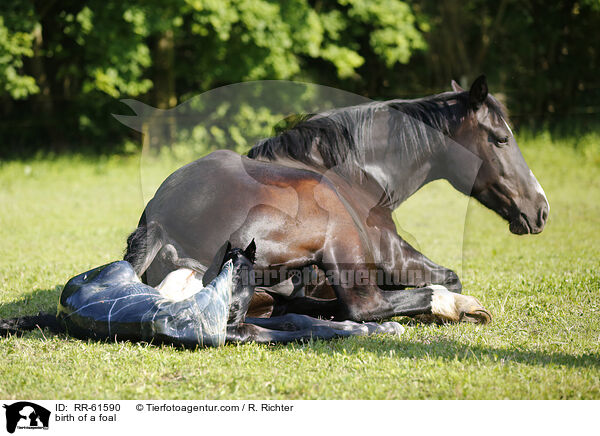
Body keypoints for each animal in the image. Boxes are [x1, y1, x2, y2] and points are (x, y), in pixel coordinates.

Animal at [1, 240, 404, 346]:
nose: (234, 309)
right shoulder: (245, 332)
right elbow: (309, 330)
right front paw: (377, 328)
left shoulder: (256, 318)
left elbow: (299, 318)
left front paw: (379, 327)